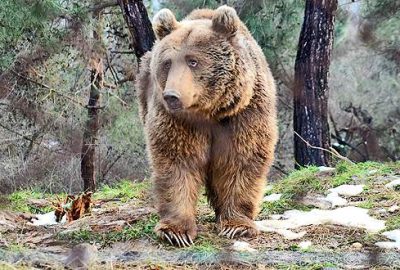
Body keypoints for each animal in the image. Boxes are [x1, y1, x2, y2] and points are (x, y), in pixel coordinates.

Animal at [136, 5, 276, 247]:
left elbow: (242, 160)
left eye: (193, 61)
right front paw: (176, 231)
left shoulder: (243, 114)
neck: (209, 111)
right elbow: (177, 162)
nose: (172, 96)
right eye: (167, 62)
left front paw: (236, 226)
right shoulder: (177, 122)